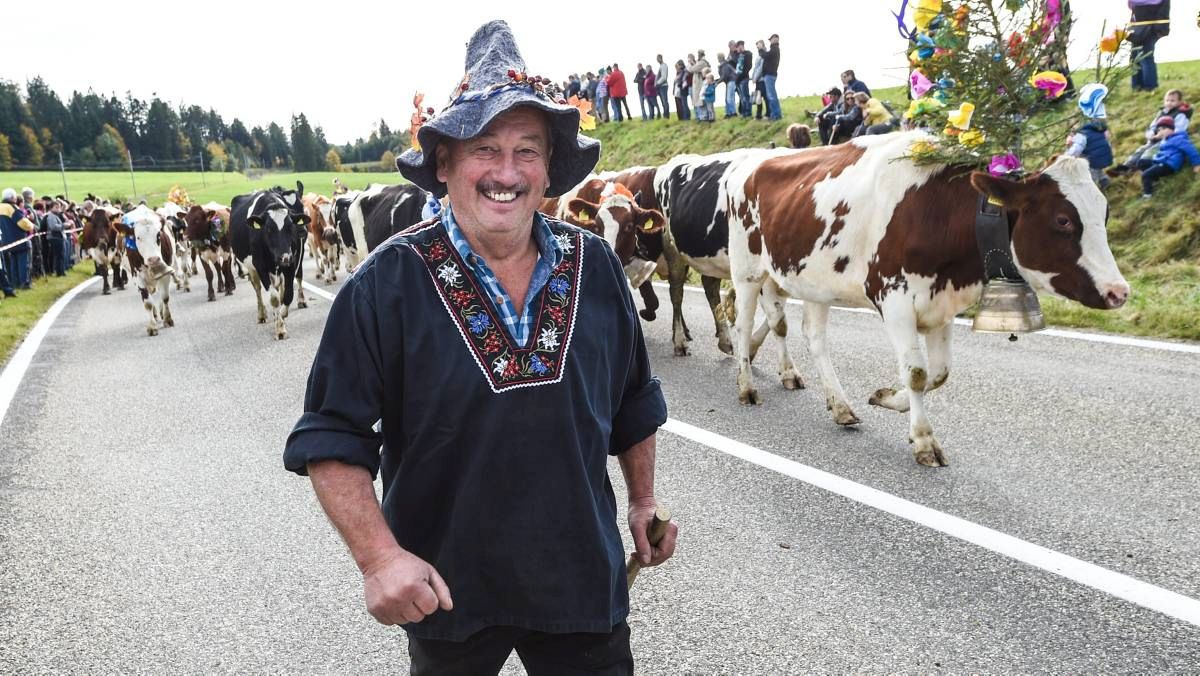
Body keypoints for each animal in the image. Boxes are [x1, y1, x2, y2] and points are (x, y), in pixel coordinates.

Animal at [117, 204, 175, 336]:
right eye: (138, 238)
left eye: (158, 235)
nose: (153, 259)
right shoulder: (138, 276)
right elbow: (148, 303)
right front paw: (152, 327)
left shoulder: (165, 273)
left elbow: (165, 297)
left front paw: (168, 319)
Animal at [230, 187, 309, 341]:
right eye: (268, 229)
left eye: (290, 227)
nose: (284, 257)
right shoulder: (261, 267)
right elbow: (274, 299)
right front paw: (280, 329)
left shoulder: (292, 263)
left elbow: (288, 294)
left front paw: (282, 315)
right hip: (252, 268)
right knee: (257, 288)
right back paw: (262, 314)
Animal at [724, 133, 1128, 470]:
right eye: (1062, 220)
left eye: (1105, 213)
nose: (1119, 292)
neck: (936, 212)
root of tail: (752, 161)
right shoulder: (894, 301)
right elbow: (917, 373)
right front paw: (923, 440)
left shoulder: (941, 306)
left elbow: (939, 373)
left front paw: (889, 398)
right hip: (747, 270)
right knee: (741, 325)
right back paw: (746, 387)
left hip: (814, 281)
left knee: (814, 337)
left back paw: (841, 407)